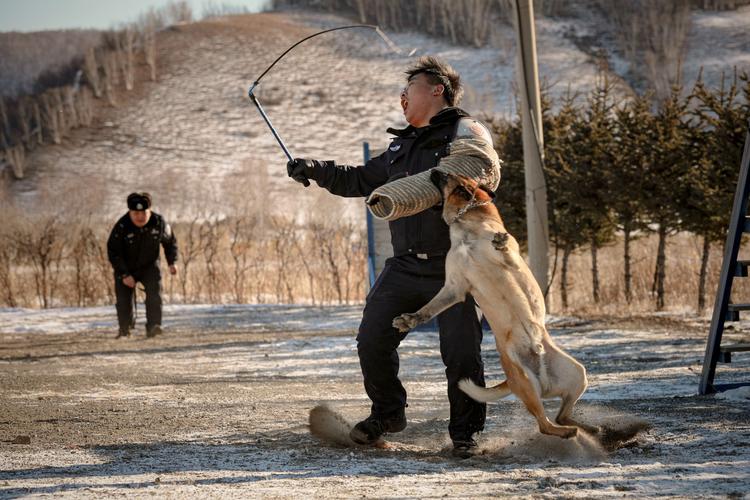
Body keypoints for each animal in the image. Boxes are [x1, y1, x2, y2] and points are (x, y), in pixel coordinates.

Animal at [394, 171, 600, 438]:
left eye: (448, 175)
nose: (433, 170)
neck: (466, 227)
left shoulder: (512, 263)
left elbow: (506, 251)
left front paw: (499, 242)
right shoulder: (454, 287)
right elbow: (428, 309)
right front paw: (408, 320)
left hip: (576, 373)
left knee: (553, 420)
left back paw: (585, 430)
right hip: (530, 383)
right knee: (549, 421)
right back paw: (578, 431)